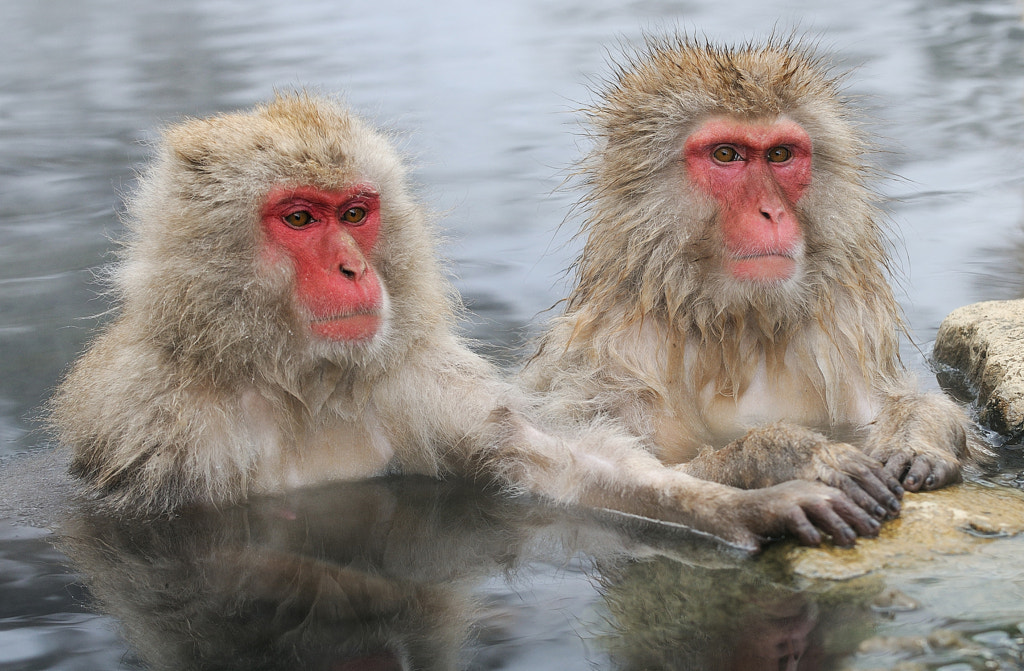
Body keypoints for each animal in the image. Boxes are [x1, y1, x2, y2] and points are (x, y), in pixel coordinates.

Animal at [49, 91, 897, 549]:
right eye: (298, 217)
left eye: (354, 213)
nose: (353, 267)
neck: (296, 381)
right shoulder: (153, 434)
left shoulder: (416, 381)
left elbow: (554, 465)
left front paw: (750, 503)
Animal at [524, 36, 970, 510]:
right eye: (726, 154)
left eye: (779, 154)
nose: (771, 211)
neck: (735, 326)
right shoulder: (611, 356)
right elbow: (609, 470)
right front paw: (786, 455)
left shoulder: (842, 327)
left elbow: (888, 404)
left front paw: (918, 436)